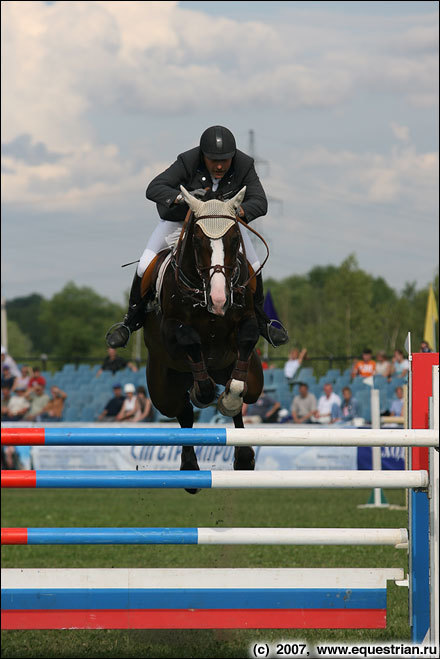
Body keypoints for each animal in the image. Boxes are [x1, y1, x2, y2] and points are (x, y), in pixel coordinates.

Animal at [143, 186, 262, 496]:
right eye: (197, 241)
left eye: (235, 239)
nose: (219, 299)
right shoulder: (172, 330)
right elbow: (190, 341)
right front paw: (202, 391)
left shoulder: (247, 321)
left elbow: (244, 351)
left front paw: (227, 398)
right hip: (162, 390)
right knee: (182, 410)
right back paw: (190, 470)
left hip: (254, 379)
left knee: (245, 397)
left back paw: (244, 458)